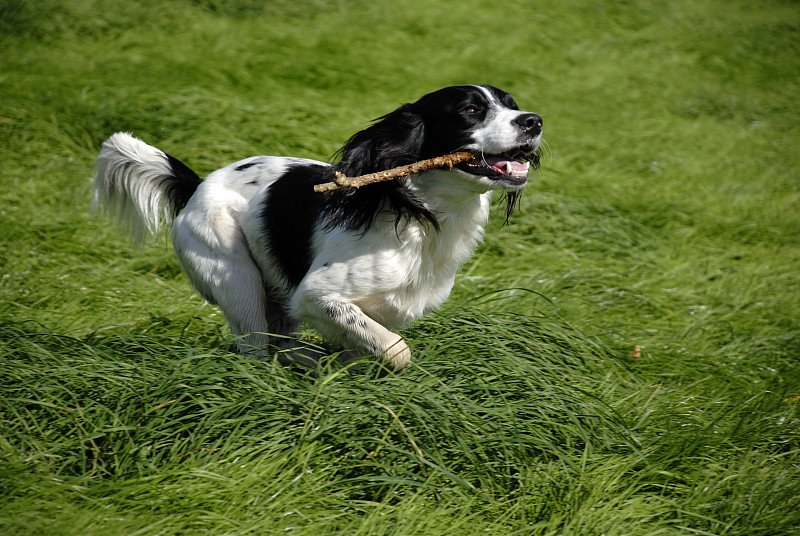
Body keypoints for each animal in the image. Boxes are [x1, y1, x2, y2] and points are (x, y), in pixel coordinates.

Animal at [94, 85, 544, 368]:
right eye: (470, 110)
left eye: (511, 104)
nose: (534, 121)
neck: (423, 214)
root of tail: (197, 185)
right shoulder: (317, 295)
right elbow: (396, 350)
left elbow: (369, 344)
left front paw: (337, 364)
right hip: (237, 280)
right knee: (256, 349)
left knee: (281, 345)